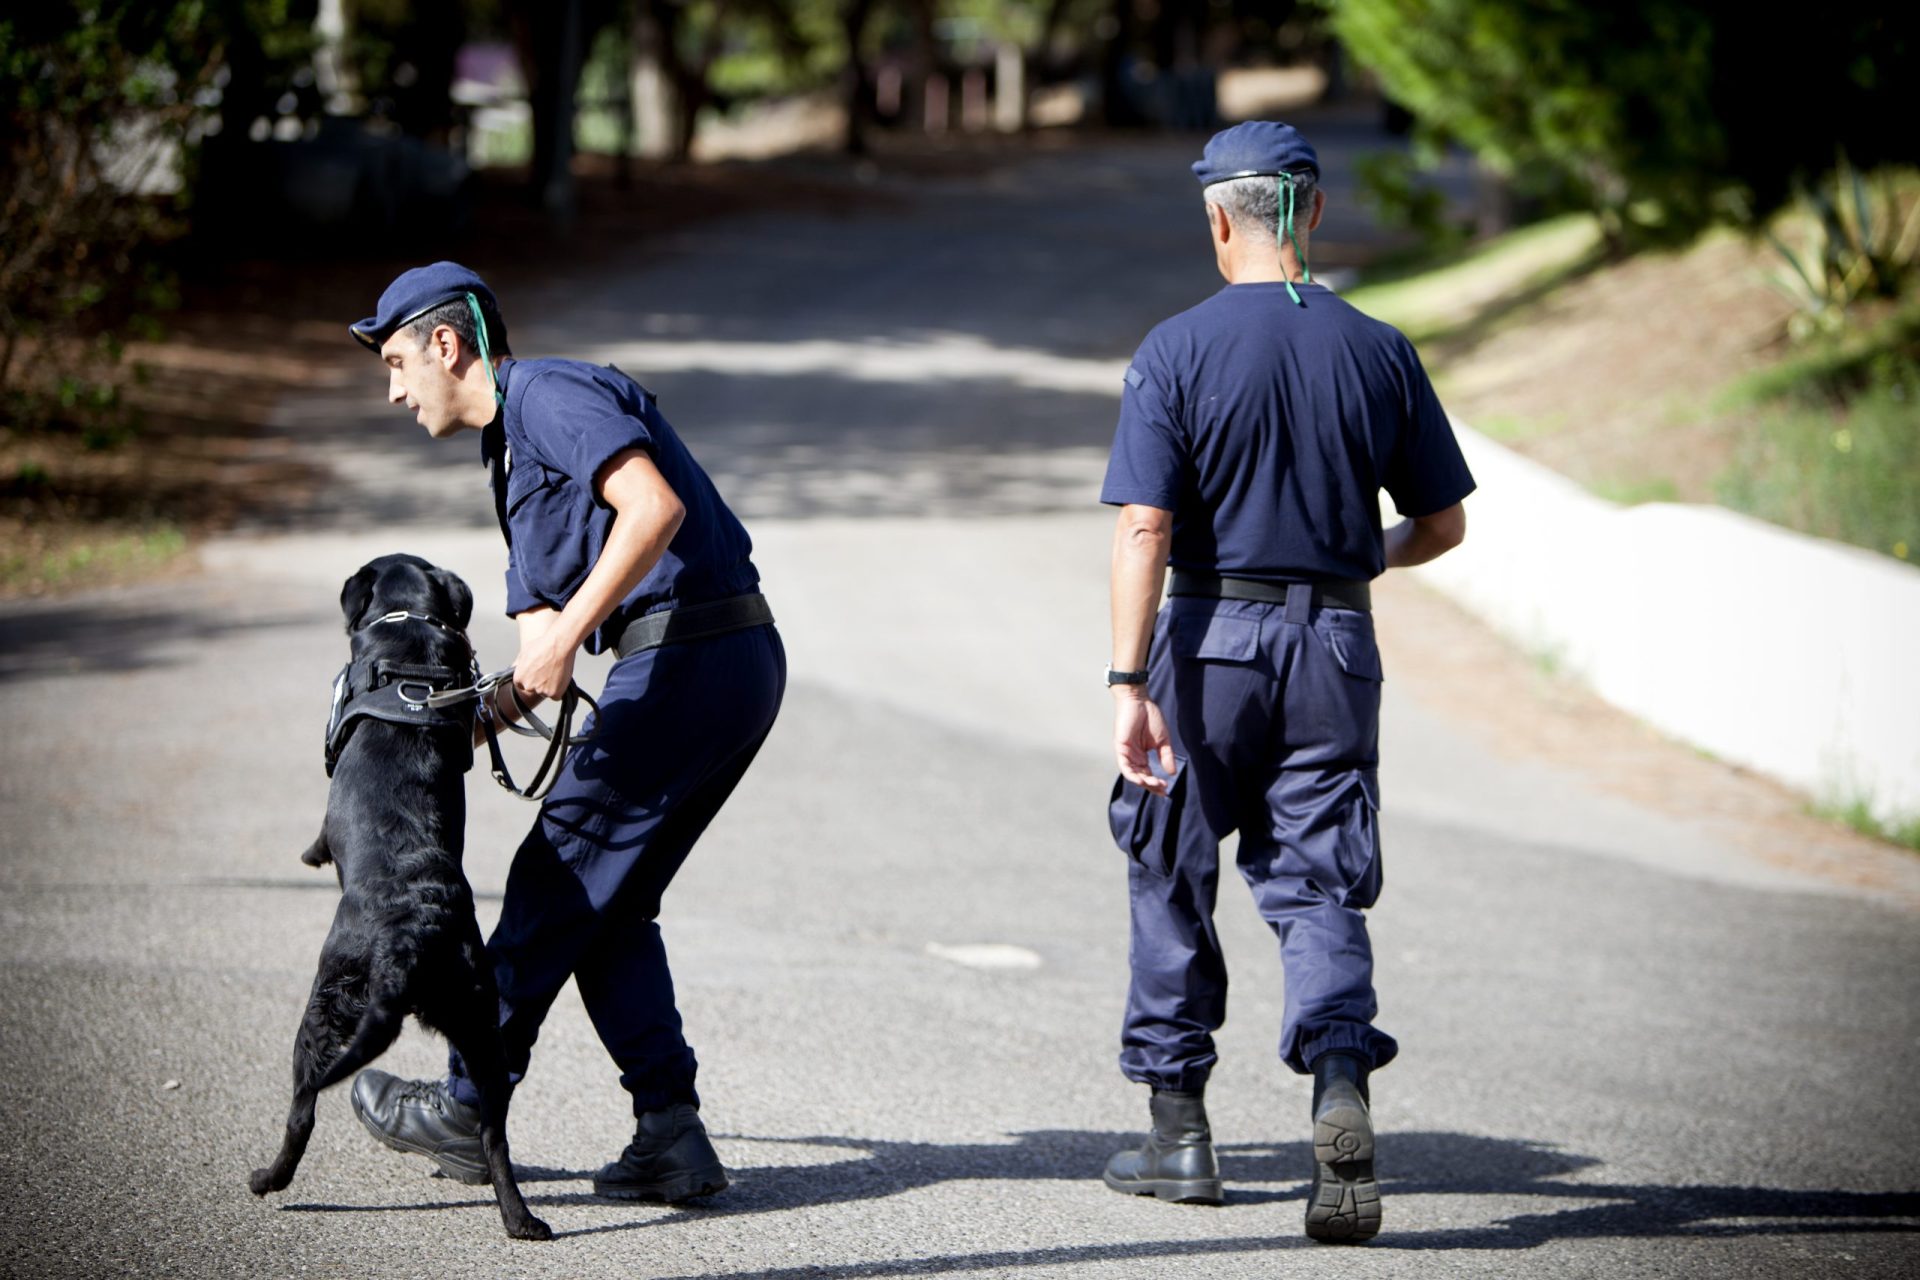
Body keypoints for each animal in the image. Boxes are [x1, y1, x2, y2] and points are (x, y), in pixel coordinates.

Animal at [245, 552, 549, 1243]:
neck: (409, 628)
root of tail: (414, 936)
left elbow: (319, 832)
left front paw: (309, 855)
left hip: (325, 1006)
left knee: (302, 1110)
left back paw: (267, 1180)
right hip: (481, 1024)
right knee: (494, 1136)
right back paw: (521, 1220)